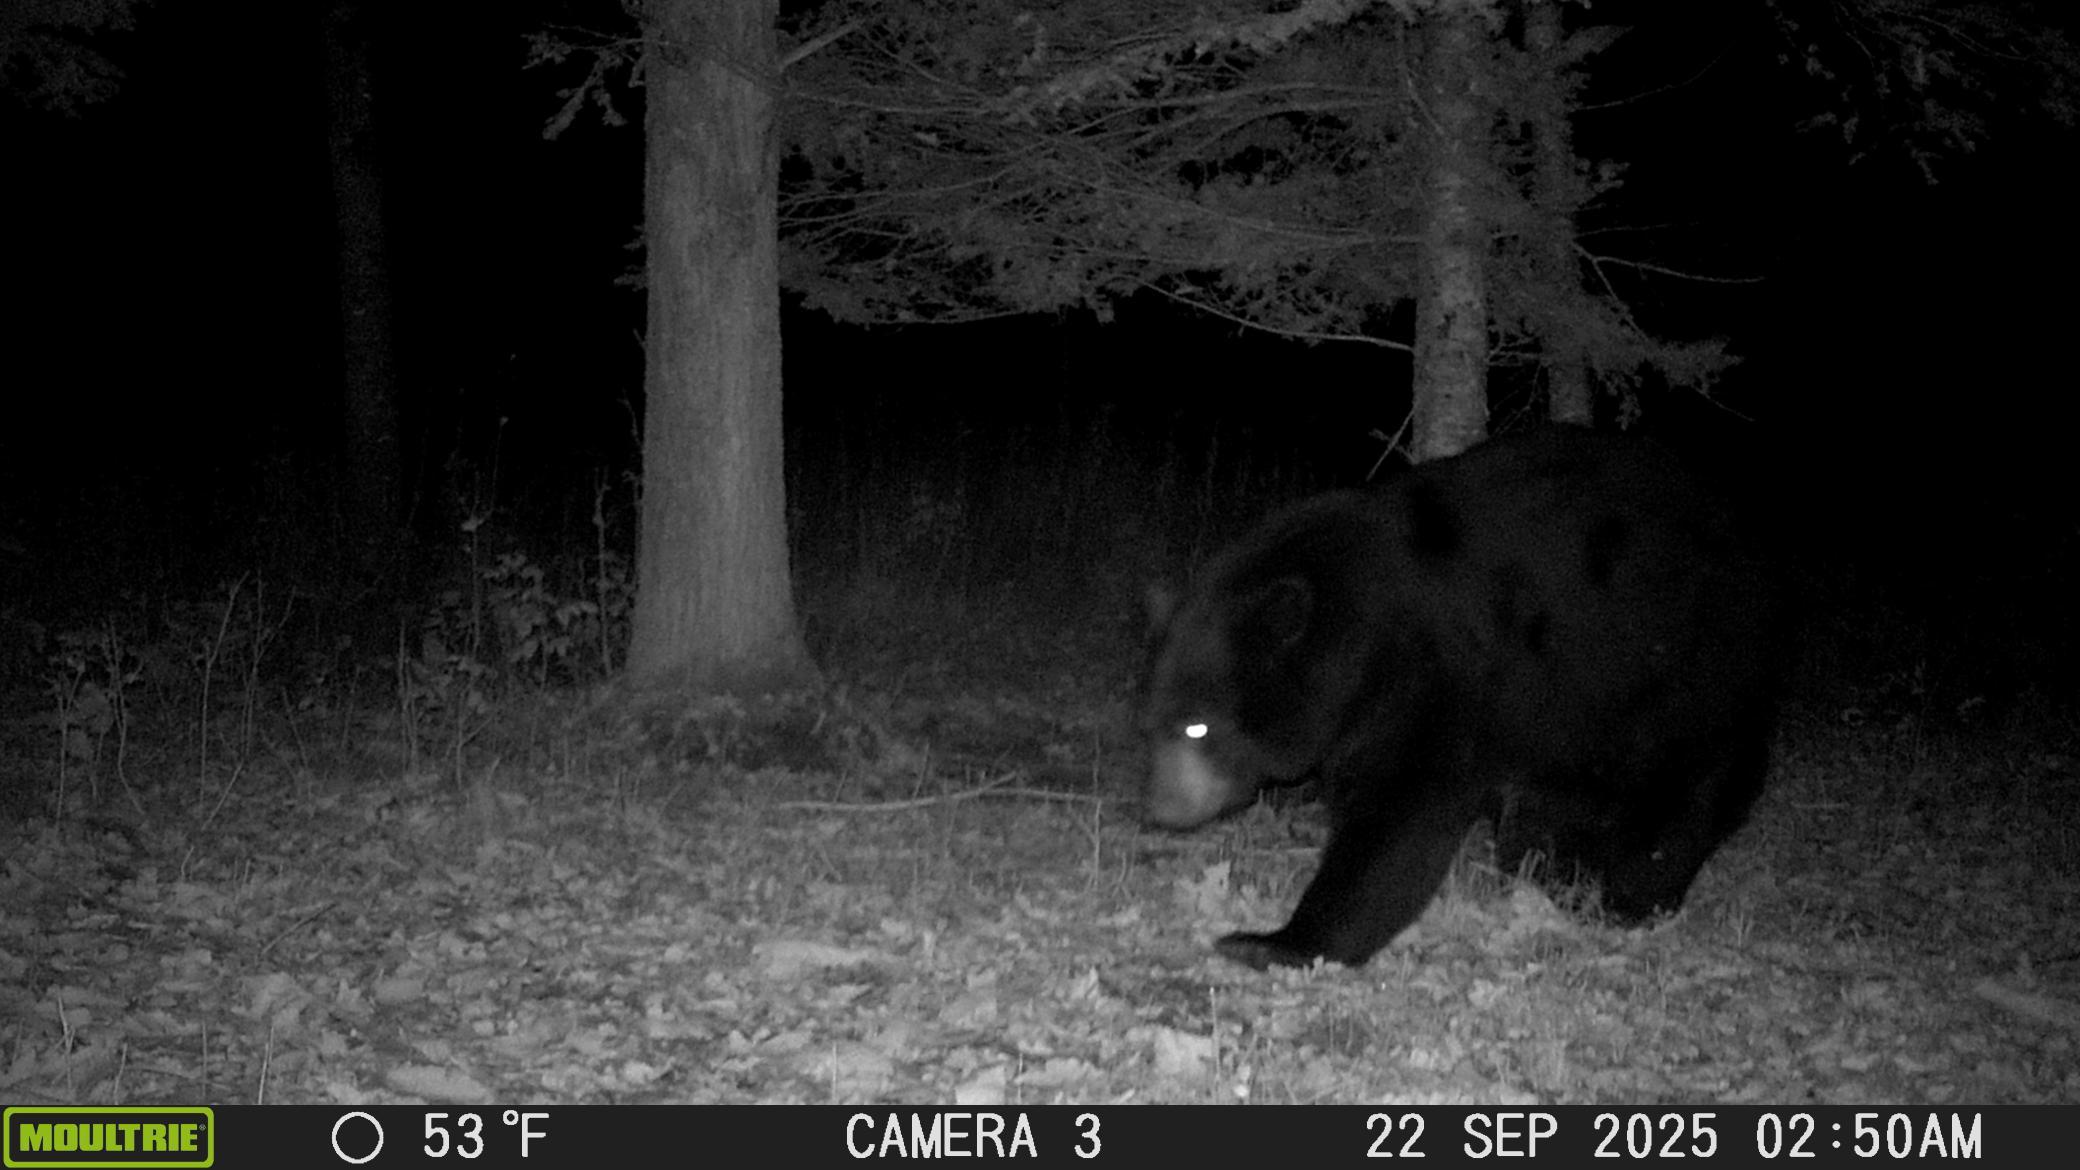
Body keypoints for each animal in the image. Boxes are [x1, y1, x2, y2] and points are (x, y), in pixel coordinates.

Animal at [1141, 427, 1783, 970]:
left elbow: (1403, 816)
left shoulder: (1446, 674)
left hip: (1681, 674)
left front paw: (1276, 941)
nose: (1160, 809)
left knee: (1688, 790)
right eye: (1157, 719)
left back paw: (1635, 891)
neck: (1367, 627)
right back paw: (1548, 871)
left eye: (1199, 726)